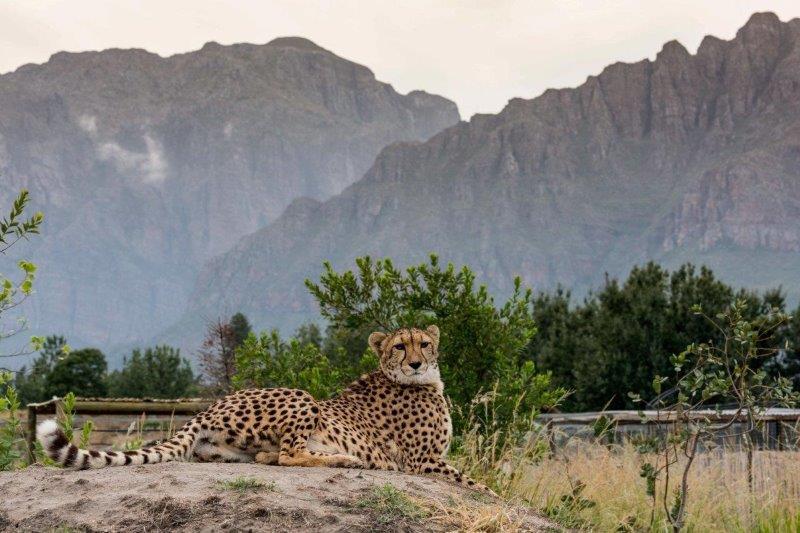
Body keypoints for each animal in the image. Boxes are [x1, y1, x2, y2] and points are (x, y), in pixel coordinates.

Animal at [37, 325, 492, 493]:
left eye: (425, 343)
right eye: (400, 346)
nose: (416, 362)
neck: (419, 382)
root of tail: (208, 407)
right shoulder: (422, 461)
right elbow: (480, 486)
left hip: (234, 448)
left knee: (269, 457)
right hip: (302, 397)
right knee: (290, 455)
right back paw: (348, 459)